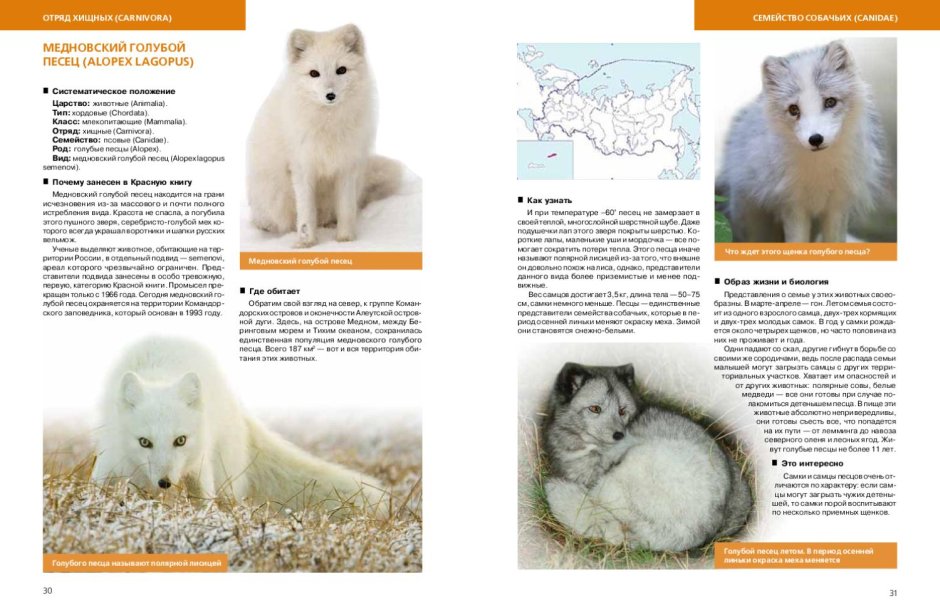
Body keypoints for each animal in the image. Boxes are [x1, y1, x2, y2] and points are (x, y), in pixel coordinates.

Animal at [90, 337, 390, 517]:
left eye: (180, 440)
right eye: (144, 442)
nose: (165, 482)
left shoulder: (199, 464)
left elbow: (204, 499)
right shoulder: (112, 456)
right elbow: (97, 484)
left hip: (224, 470)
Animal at [247, 24, 402, 247]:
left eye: (341, 70)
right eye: (314, 73)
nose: (330, 95)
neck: (329, 123)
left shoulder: (347, 166)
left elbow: (346, 208)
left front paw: (346, 240)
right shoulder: (302, 167)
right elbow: (306, 211)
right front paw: (306, 242)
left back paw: (329, 224)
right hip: (271, 196)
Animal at [718, 41, 888, 243]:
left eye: (830, 102)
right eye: (794, 109)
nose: (815, 139)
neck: (819, 168)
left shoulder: (838, 206)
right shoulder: (793, 206)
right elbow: (796, 241)